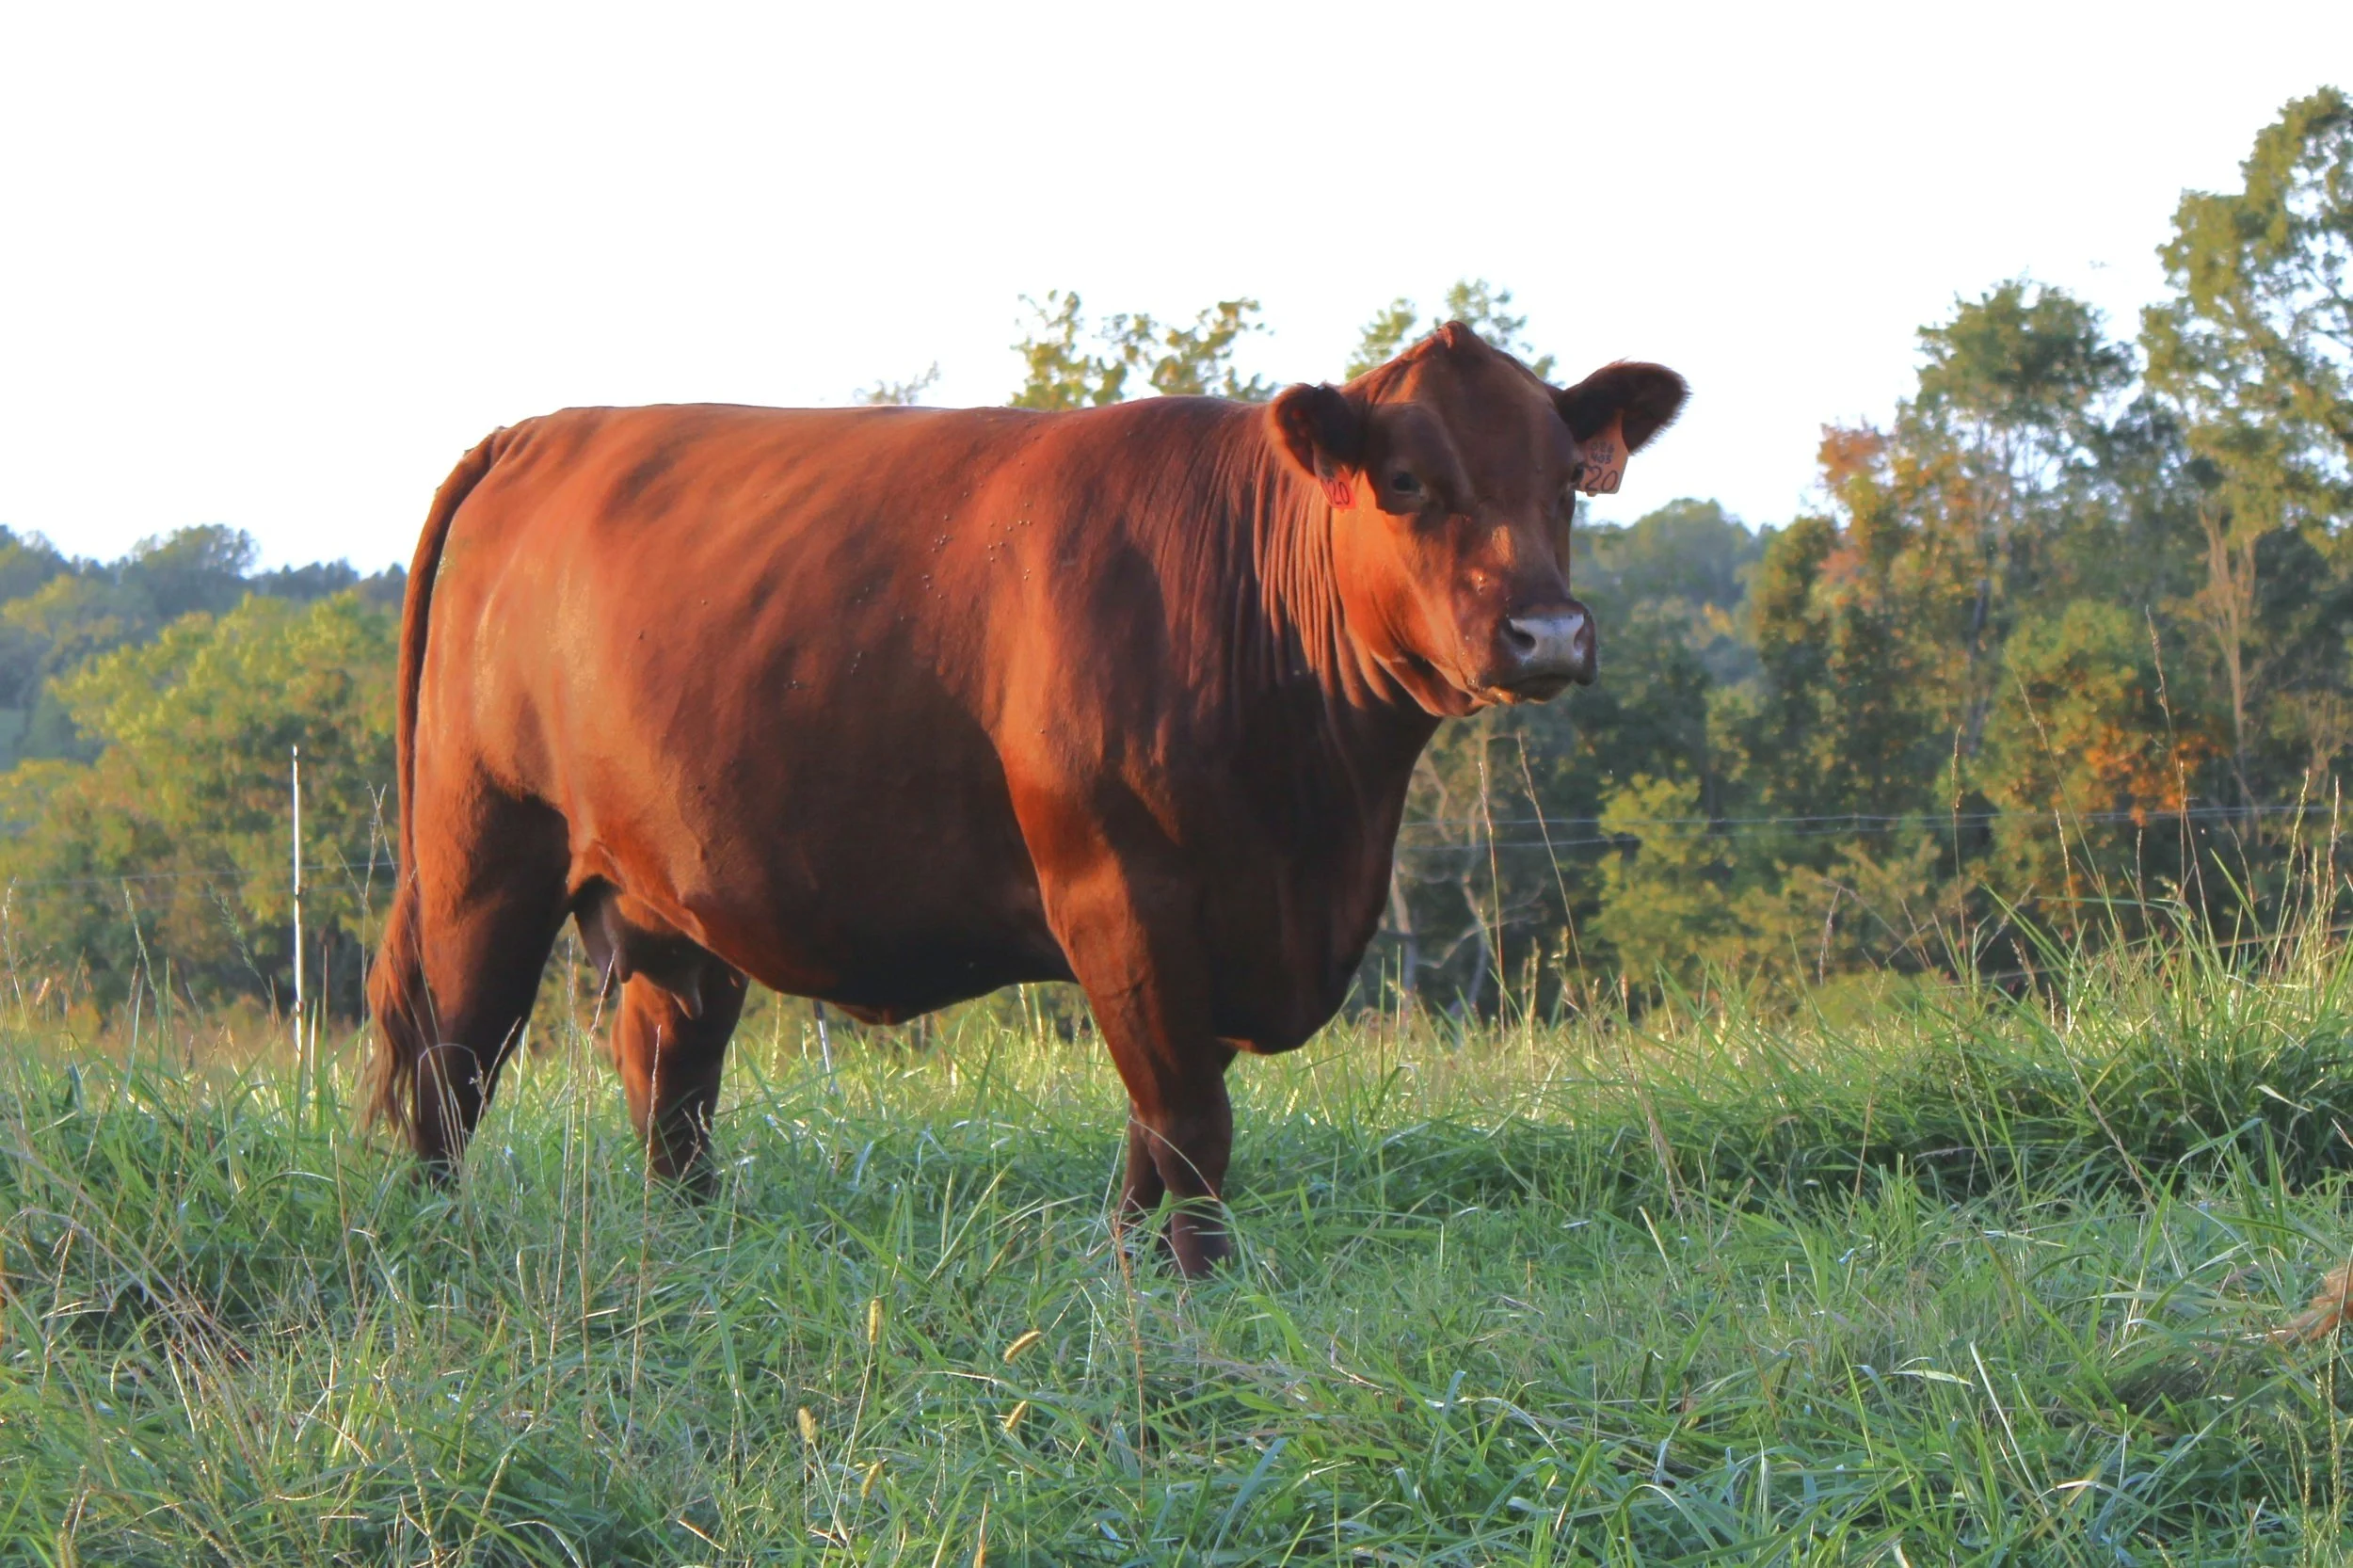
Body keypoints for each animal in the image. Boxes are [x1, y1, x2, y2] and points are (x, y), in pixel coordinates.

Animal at [364, 324, 1686, 1275]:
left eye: (1569, 481)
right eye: (1407, 480)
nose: (1548, 632)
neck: (1322, 828)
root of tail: (535, 433)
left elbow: (1157, 1127)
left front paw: (1130, 1272)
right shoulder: (1121, 891)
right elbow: (1190, 1123)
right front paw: (1199, 1291)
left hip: (671, 897)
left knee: (668, 1083)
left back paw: (693, 1245)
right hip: (484, 852)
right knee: (450, 1063)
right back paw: (436, 1242)